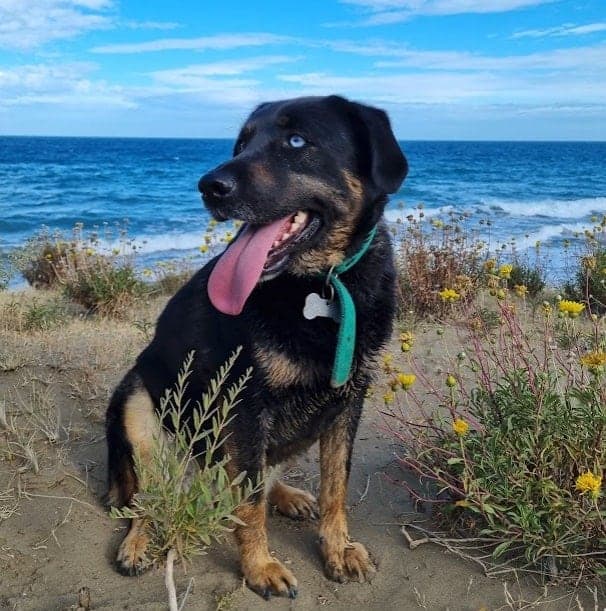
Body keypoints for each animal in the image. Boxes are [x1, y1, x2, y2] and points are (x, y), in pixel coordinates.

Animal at [105, 94, 408, 596]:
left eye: (297, 141)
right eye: (242, 144)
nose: (209, 187)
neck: (320, 286)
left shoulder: (348, 401)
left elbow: (335, 488)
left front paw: (338, 549)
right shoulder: (244, 405)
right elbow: (247, 505)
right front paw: (260, 566)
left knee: (264, 477)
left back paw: (287, 495)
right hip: (135, 404)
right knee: (149, 496)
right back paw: (139, 542)